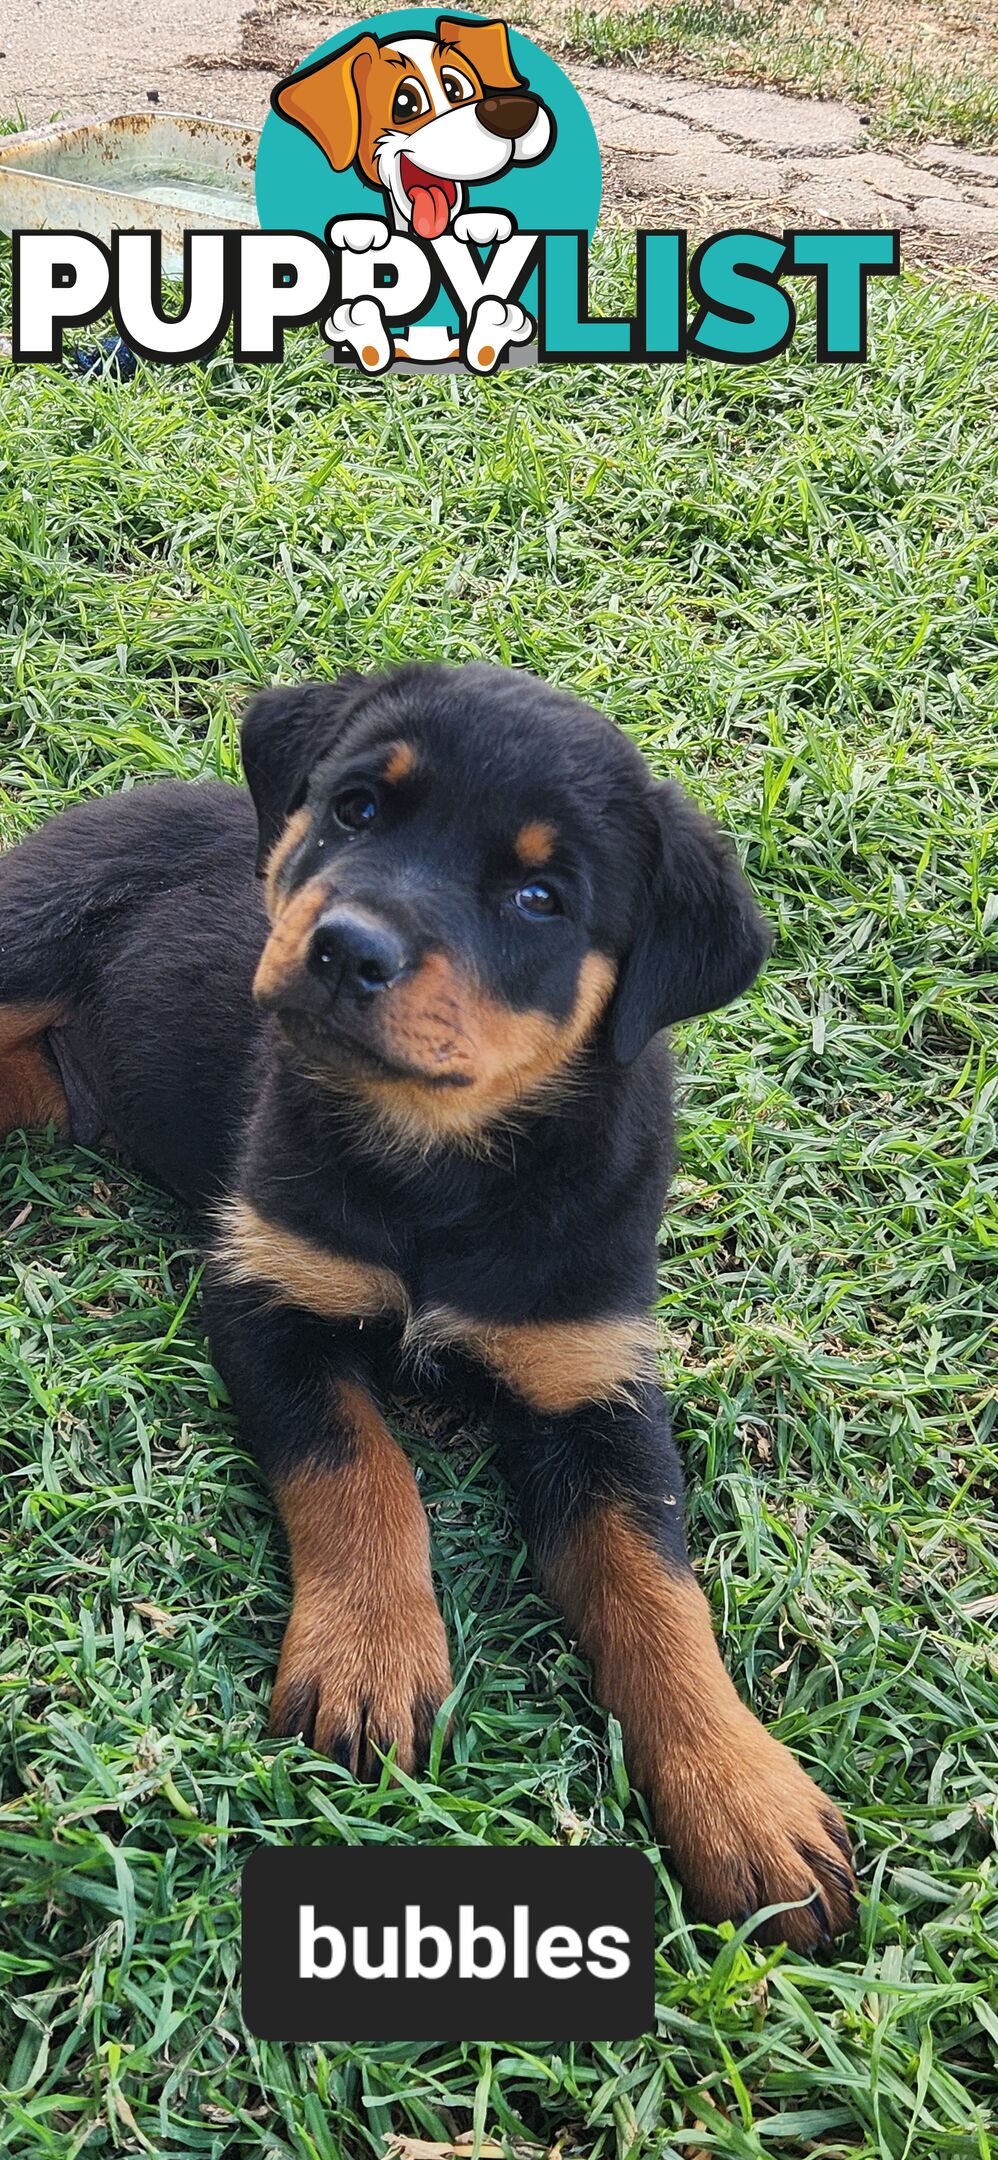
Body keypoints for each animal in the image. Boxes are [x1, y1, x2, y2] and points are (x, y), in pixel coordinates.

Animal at [1, 656, 859, 1944]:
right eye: (356, 809)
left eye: (541, 898)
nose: (346, 948)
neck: (440, 1163)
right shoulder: (269, 1288)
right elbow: (360, 1470)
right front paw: (370, 1657)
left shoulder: (594, 1378)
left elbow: (655, 1589)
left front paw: (744, 1798)